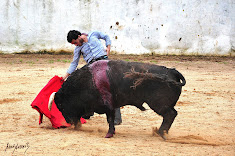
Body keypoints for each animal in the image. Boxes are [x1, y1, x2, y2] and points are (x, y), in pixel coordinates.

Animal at [51, 59, 185, 139]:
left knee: (170, 114)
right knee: (172, 114)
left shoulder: (108, 105)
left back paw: (161, 133)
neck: (89, 80)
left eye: (62, 105)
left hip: (158, 104)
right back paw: (161, 132)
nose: (69, 121)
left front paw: (109, 134)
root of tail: (172, 71)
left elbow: (110, 119)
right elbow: (110, 119)